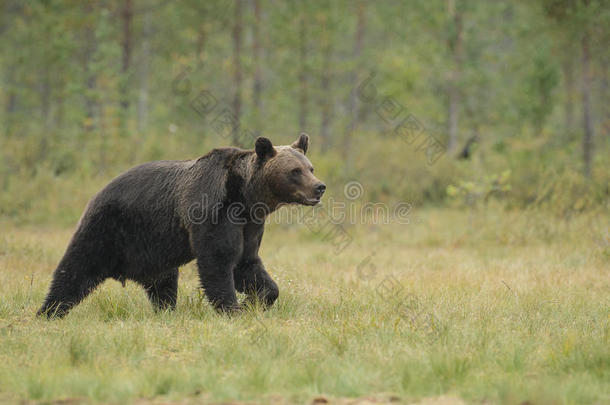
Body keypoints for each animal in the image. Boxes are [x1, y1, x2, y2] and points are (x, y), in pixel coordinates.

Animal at [37, 134, 324, 318]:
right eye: (295, 171)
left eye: (310, 167)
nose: (319, 187)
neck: (245, 197)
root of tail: (97, 192)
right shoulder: (214, 210)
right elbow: (218, 260)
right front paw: (233, 309)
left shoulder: (251, 224)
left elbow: (247, 263)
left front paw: (257, 299)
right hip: (108, 228)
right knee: (75, 269)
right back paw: (48, 311)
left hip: (153, 252)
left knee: (163, 285)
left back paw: (166, 310)